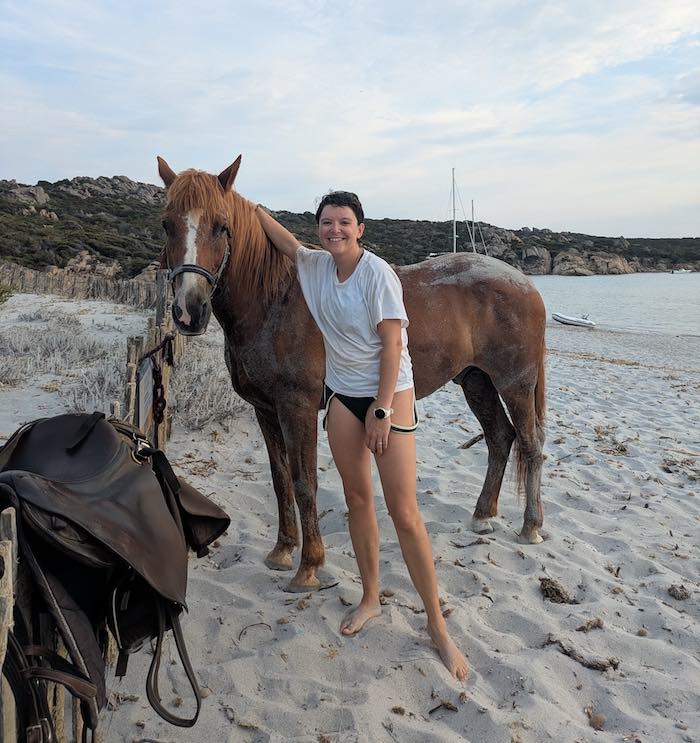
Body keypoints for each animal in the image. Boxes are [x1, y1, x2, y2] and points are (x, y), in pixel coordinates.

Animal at [157, 155, 547, 592]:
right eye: (167, 224)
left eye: (221, 225)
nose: (189, 310)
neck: (273, 302)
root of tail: (524, 283)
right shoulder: (265, 410)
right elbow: (280, 480)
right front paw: (282, 551)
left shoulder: (297, 408)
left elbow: (304, 483)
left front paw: (309, 565)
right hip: (476, 381)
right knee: (500, 438)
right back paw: (483, 516)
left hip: (515, 384)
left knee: (530, 444)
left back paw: (530, 527)